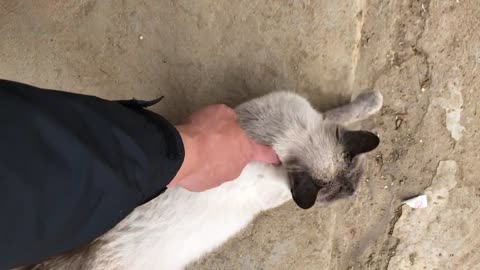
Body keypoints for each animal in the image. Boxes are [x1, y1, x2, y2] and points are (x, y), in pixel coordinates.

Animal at [21, 90, 382, 270]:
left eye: (353, 186)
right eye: (335, 199)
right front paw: (372, 101)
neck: (285, 140)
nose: (353, 196)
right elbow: (336, 114)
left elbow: (334, 115)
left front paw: (369, 102)